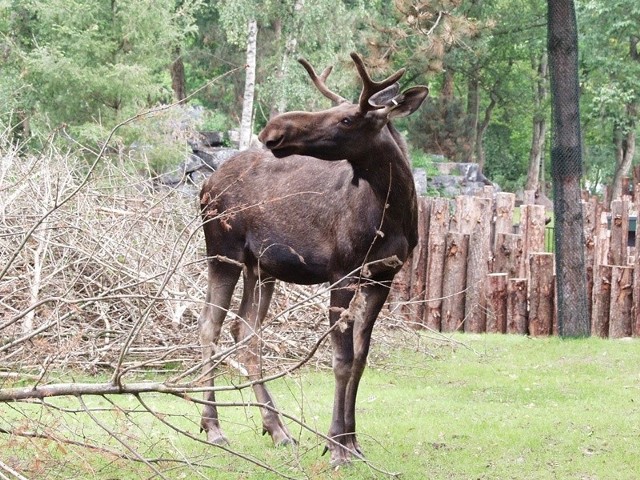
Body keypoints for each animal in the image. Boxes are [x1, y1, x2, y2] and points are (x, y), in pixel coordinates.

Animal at [198, 52, 428, 464]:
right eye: (333, 109)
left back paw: (277, 428)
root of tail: (204, 184)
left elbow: (361, 357)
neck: (395, 212)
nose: (273, 131)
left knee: (246, 331)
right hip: (223, 252)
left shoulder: (382, 277)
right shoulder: (343, 272)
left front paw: (354, 442)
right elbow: (341, 360)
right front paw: (336, 445)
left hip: (261, 268)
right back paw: (214, 427)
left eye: (347, 118)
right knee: (210, 325)